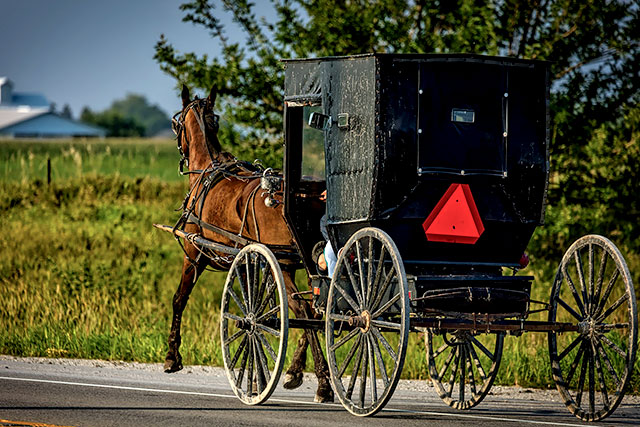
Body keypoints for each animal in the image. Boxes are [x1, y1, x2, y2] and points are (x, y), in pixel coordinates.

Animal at [162, 84, 332, 404]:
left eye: (176, 124)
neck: (207, 170)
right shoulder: (247, 262)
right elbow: (261, 311)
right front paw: (258, 375)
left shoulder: (193, 255)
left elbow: (179, 299)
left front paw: (171, 357)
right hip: (304, 264)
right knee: (317, 310)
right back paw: (296, 372)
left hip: (285, 265)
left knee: (303, 310)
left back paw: (323, 382)